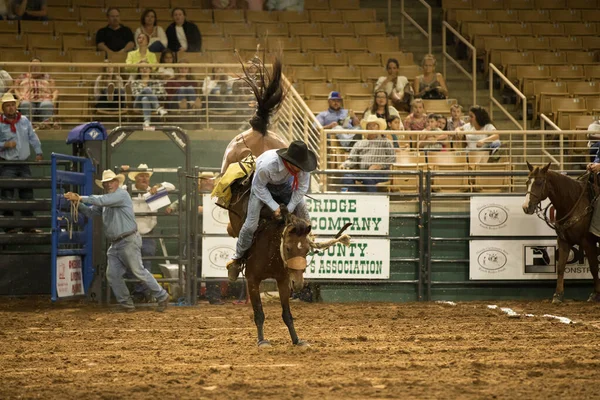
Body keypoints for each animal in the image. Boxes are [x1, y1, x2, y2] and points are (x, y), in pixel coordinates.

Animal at [520, 162, 600, 304]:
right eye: (527, 182)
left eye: (539, 182)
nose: (526, 207)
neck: (573, 203)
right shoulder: (563, 240)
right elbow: (561, 267)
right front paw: (558, 295)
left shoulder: (588, 241)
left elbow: (594, 267)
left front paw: (595, 294)